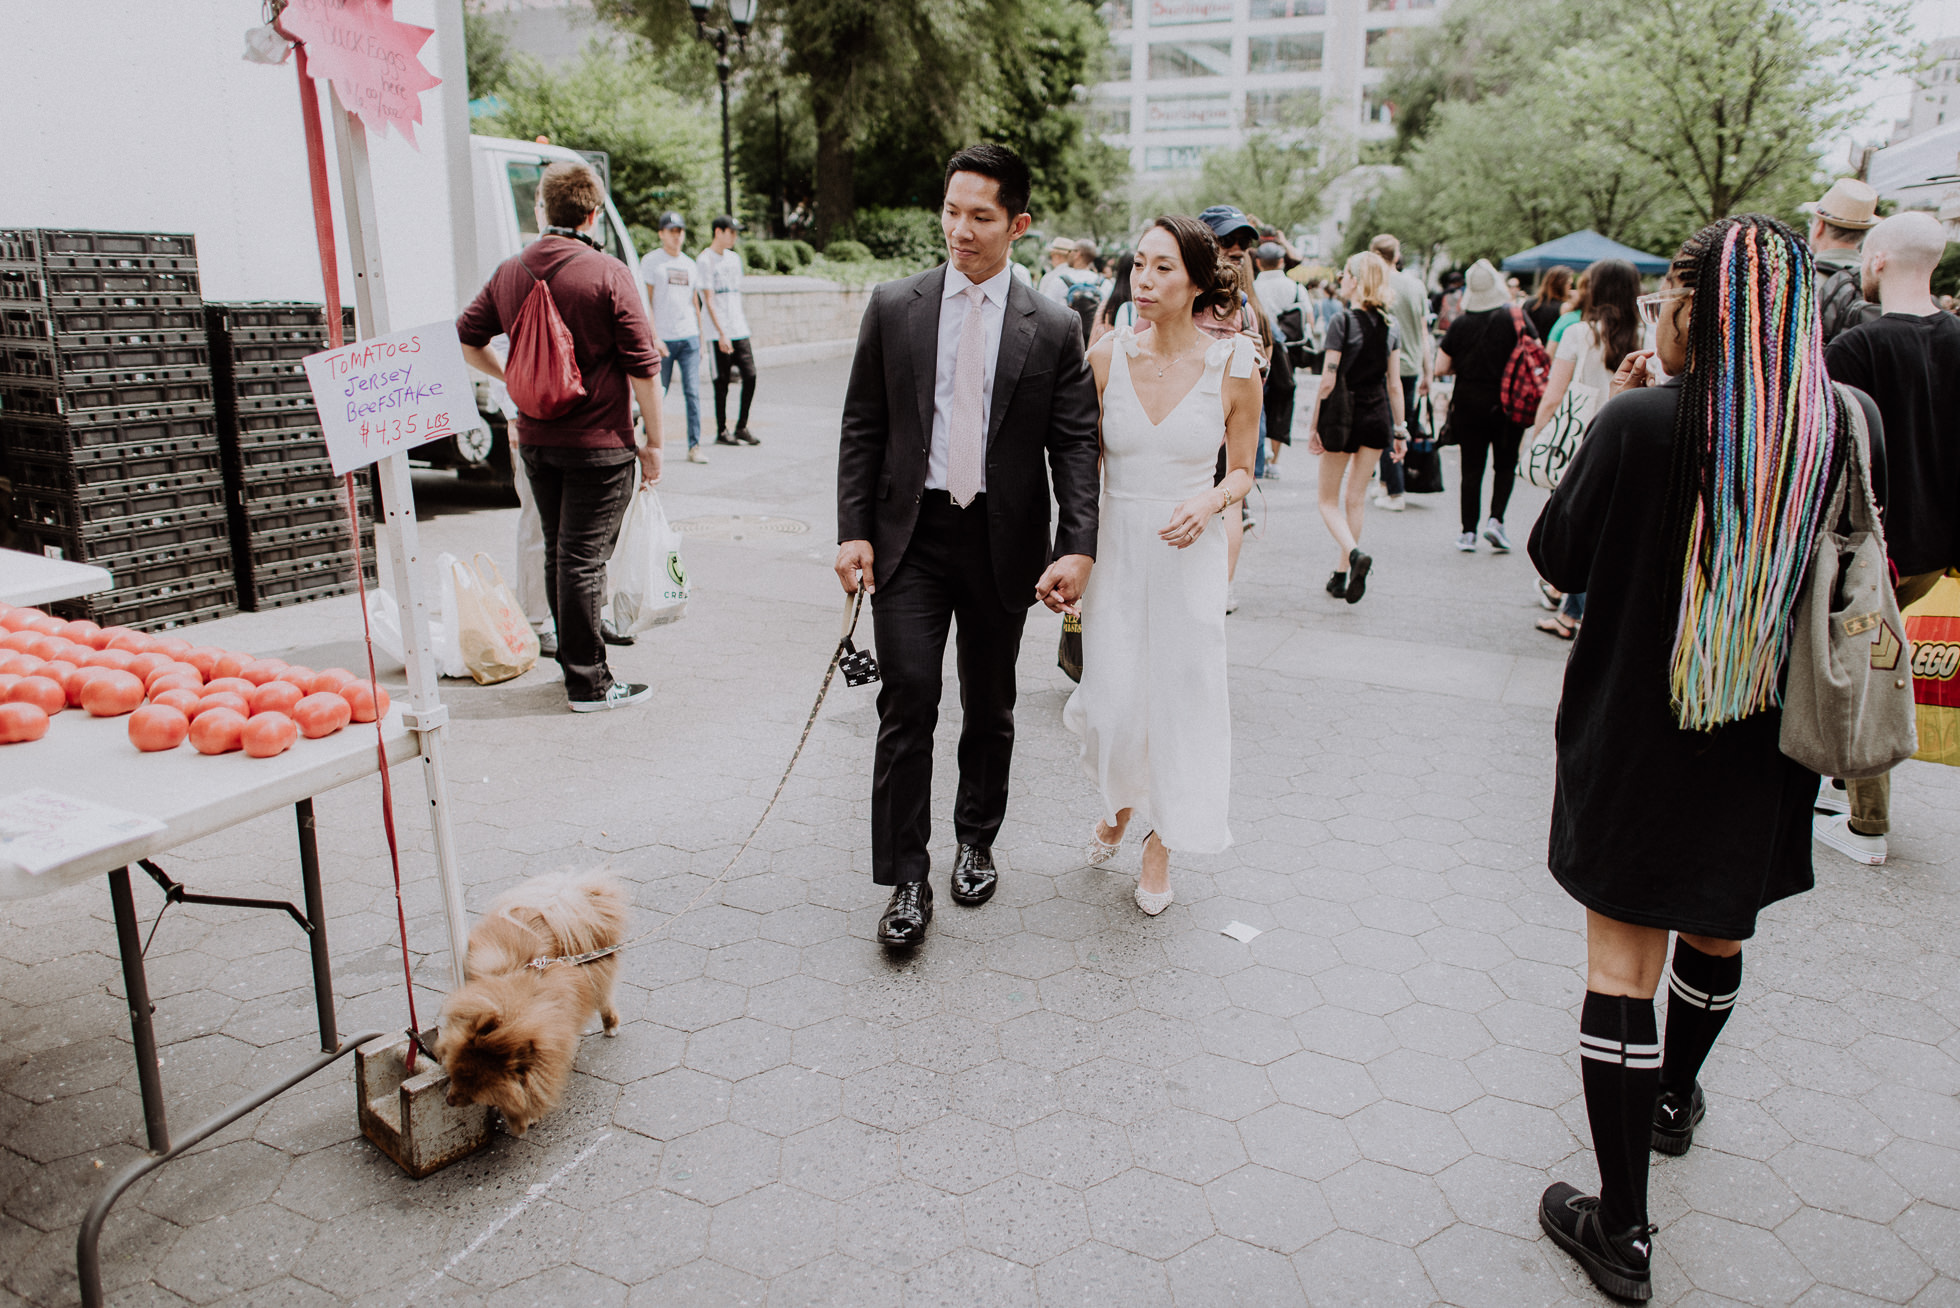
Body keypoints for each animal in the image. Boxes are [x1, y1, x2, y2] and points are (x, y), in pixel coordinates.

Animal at [435, 870, 627, 1137]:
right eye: (454, 1076)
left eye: (475, 1090)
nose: (449, 1100)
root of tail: (560, 899)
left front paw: (525, 1119)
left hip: (597, 973)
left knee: (605, 999)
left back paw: (610, 1026)